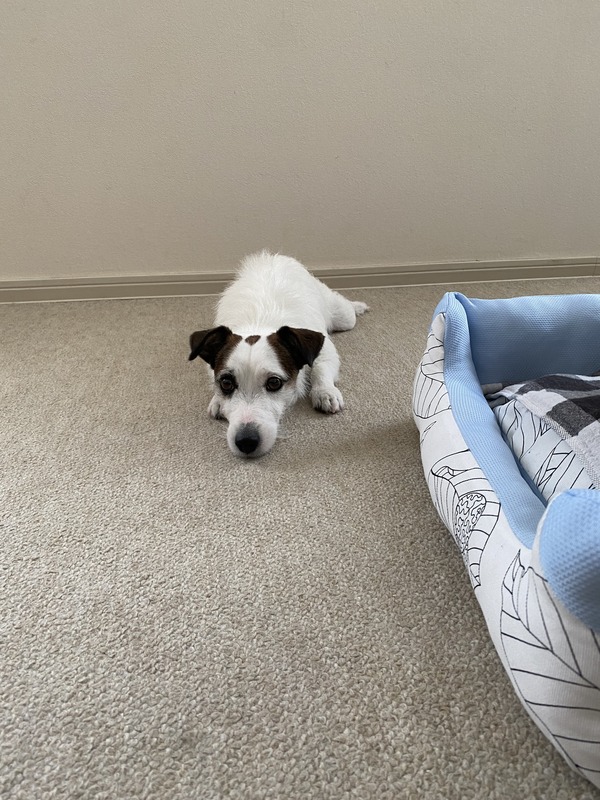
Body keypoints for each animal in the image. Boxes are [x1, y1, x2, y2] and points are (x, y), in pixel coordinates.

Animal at [188, 251, 368, 458]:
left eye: (274, 383)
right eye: (226, 383)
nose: (246, 442)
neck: (259, 324)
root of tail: (275, 257)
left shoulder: (325, 350)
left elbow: (320, 368)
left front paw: (325, 391)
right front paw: (217, 399)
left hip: (343, 317)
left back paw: (358, 306)